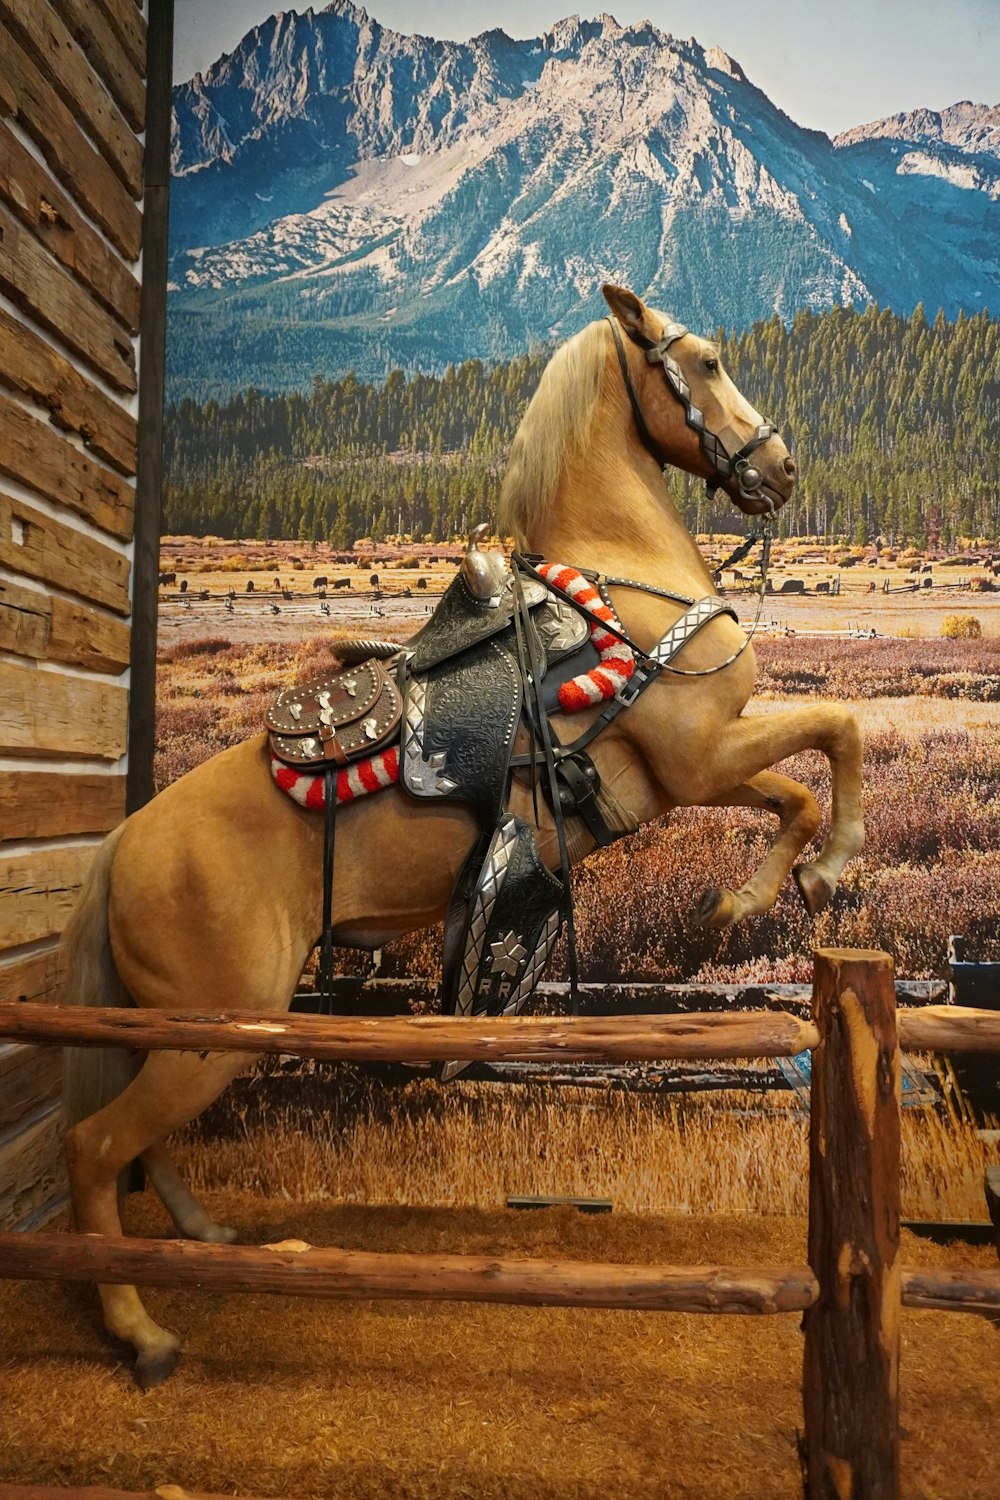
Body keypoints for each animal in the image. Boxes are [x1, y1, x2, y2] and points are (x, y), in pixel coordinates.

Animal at [62, 282, 863, 1380]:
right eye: (702, 360)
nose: (778, 469)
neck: (619, 592)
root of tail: (121, 850)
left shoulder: (693, 768)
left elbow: (795, 786)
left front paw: (748, 894)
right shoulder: (698, 757)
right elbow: (837, 734)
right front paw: (823, 868)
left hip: (199, 1036)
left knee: (142, 1145)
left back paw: (208, 1239)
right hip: (210, 1033)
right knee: (99, 1148)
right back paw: (142, 1329)